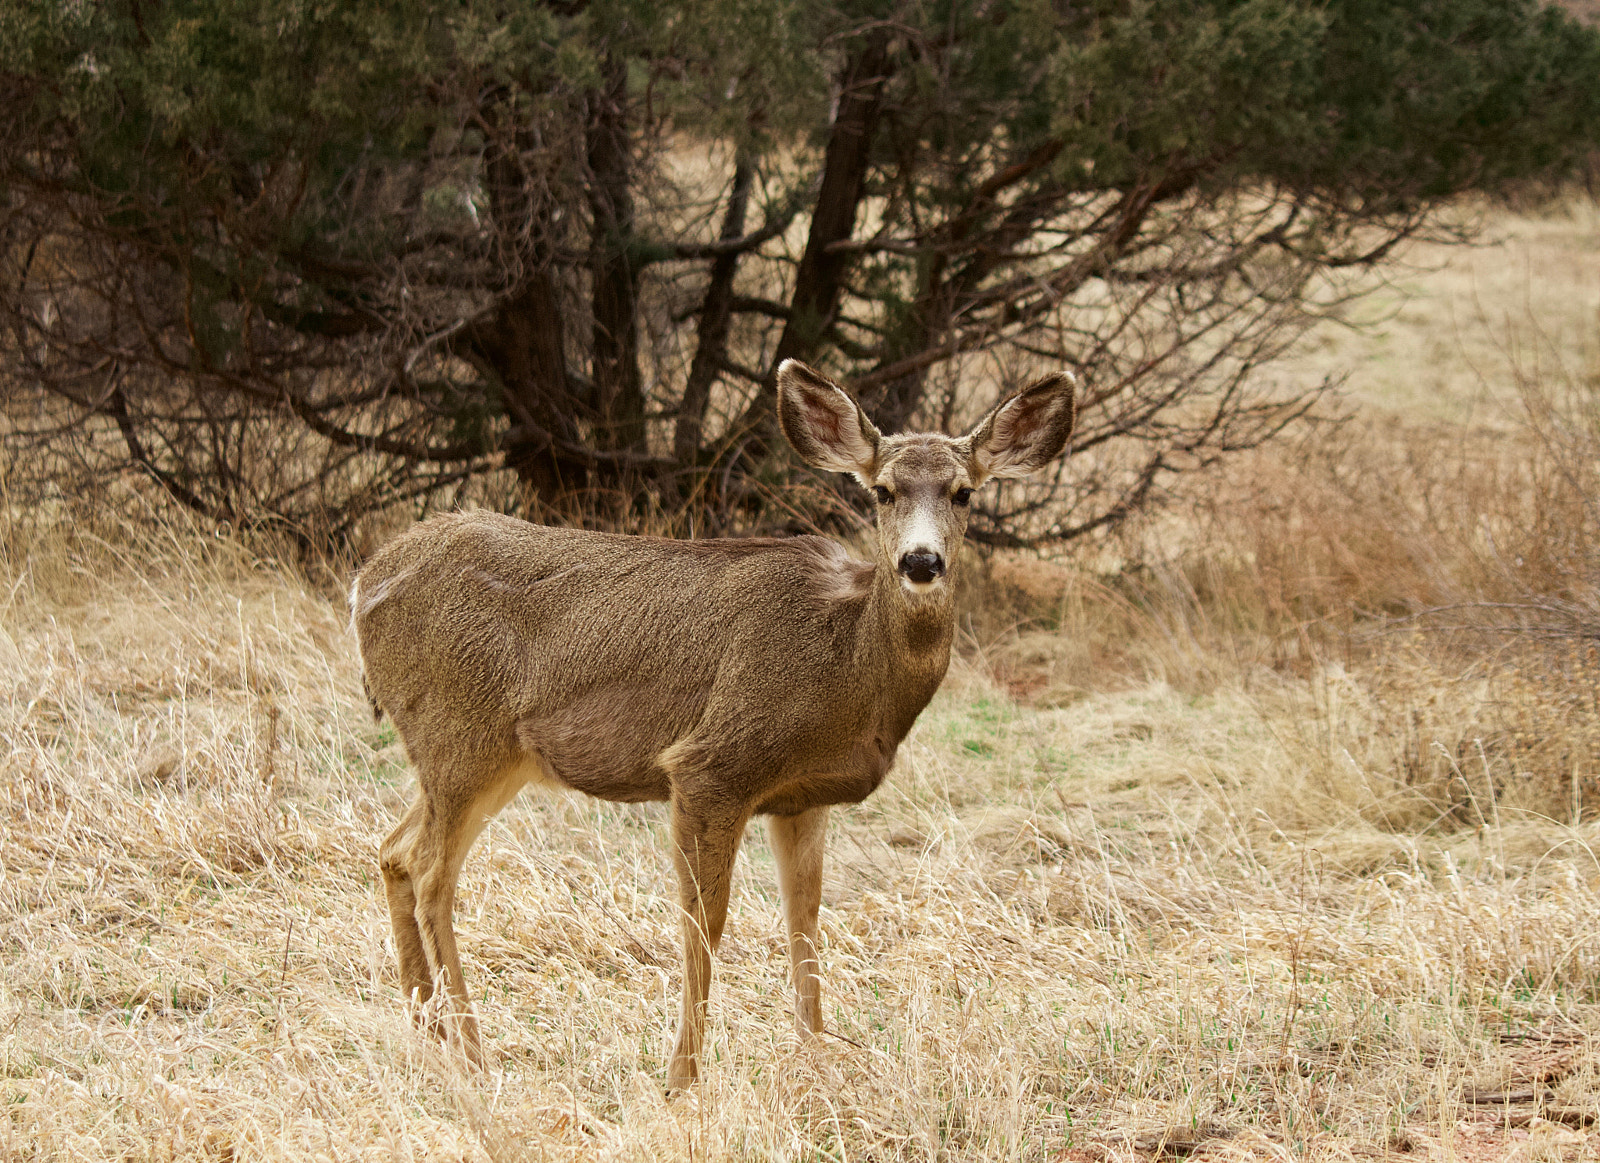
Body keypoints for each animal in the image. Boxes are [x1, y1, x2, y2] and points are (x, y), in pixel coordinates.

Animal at [350, 358, 1075, 1090]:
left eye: (963, 493)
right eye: (883, 490)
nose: (921, 562)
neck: (849, 668)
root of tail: (366, 583)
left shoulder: (801, 798)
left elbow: (804, 919)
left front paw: (816, 1061)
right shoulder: (711, 764)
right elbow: (706, 925)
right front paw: (682, 1078)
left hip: (481, 756)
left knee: (393, 850)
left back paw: (427, 1029)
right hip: (462, 733)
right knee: (431, 871)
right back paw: (473, 1051)